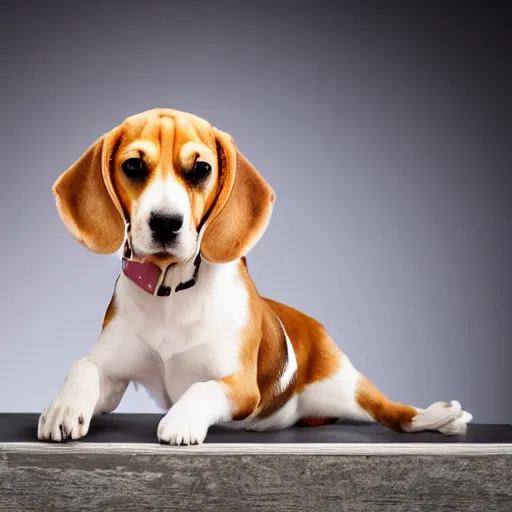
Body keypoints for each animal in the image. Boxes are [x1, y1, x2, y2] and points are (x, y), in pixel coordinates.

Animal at [38, 107, 474, 444]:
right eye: (133, 166)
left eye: (200, 169)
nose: (165, 222)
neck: (171, 293)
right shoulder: (113, 373)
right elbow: (83, 366)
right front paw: (62, 408)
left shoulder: (240, 385)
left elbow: (202, 388)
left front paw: (181, 420)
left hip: (348, 386)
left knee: (390, 410)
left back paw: (440, 417)